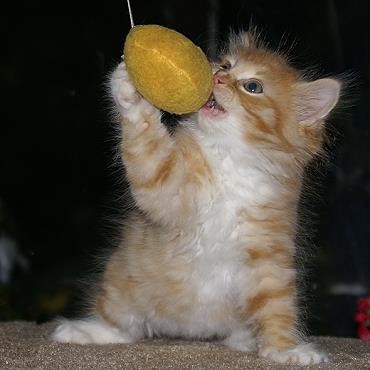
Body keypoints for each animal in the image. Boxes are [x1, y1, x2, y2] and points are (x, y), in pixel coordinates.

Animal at [52, 31, 342, 364]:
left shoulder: (270, 251)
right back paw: (84, 331)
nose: (217, 76)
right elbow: (148, 144)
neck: (230, 161)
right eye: (226, 65)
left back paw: (245, 340)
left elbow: (277, 306)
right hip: (121, 283)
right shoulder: (170, 189)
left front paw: (284, 350)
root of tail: (193, 331)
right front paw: (133, 91)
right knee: (119, 324)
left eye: (253, 87)